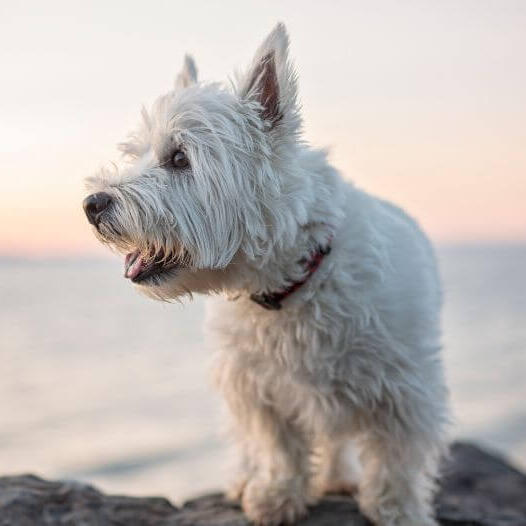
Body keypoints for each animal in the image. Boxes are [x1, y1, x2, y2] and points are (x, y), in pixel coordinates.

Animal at [82, 22, 450, 524]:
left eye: (179, 158)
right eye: (137, 154)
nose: (92, 204)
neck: (288, 286)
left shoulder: (403, 387)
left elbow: (396, 458)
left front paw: (399, 510)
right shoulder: (256, 386)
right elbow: (278, 447)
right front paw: (276, 497)